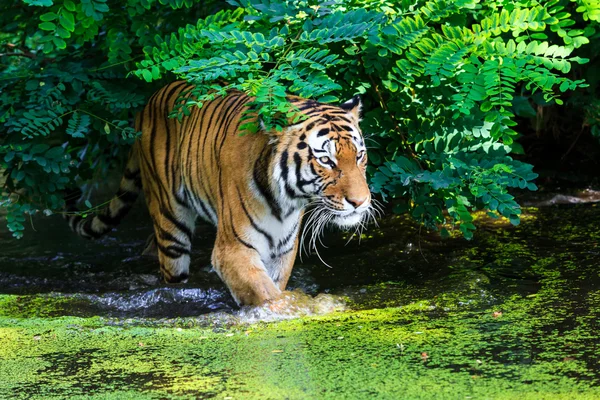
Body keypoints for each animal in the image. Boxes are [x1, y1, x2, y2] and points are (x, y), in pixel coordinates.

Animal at [68, 81, 372, 306]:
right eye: (326, 161)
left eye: (359, 156)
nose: (360, 202)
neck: (285, 201)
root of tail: (148, 101)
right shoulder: (233, 249)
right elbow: (266, 295)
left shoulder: (283, 251)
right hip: (170, 224)